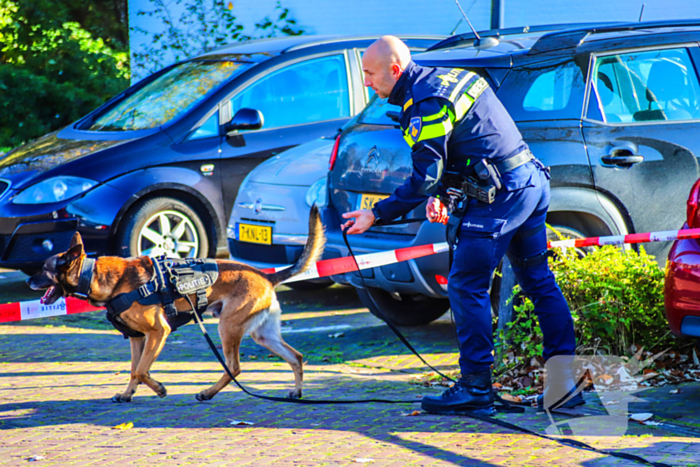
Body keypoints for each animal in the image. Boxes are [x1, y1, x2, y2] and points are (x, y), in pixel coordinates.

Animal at [25, 207, 326, 404]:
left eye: (43, 268)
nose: (28, 280)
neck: (100, 277)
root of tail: (265, 275)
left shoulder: (159, 332)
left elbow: (141, 369)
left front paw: (159, 388)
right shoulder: (137, 338)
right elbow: (134, 370)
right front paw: (127, 394)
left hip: (228, 327)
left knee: (235, 367)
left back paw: (208, 392)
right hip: (262, 333)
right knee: (295, 356)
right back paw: (297, 392)